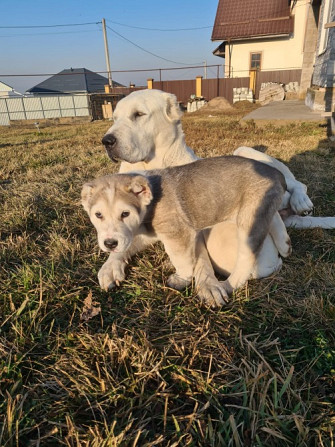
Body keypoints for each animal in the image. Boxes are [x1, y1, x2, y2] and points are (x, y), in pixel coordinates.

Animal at [81, 156, 288, 306]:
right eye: (98, 215)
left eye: (125, 213)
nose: (109, 243)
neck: (151, 201)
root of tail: (276, 173)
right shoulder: (147, 234)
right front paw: (110, 267)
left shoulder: (178, 233)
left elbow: (182, 259)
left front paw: (182, 278)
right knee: (275, 218)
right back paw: (285, 243)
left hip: (250, 219)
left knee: (246, 259)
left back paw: (228, 285)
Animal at [99, 89, 335, 292]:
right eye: (114, 118)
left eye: (138, 114)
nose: (107, 141)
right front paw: (110, 266)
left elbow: (200, 258)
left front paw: (208, 285)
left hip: (244, 153)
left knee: (296, 184)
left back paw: (301, 203)